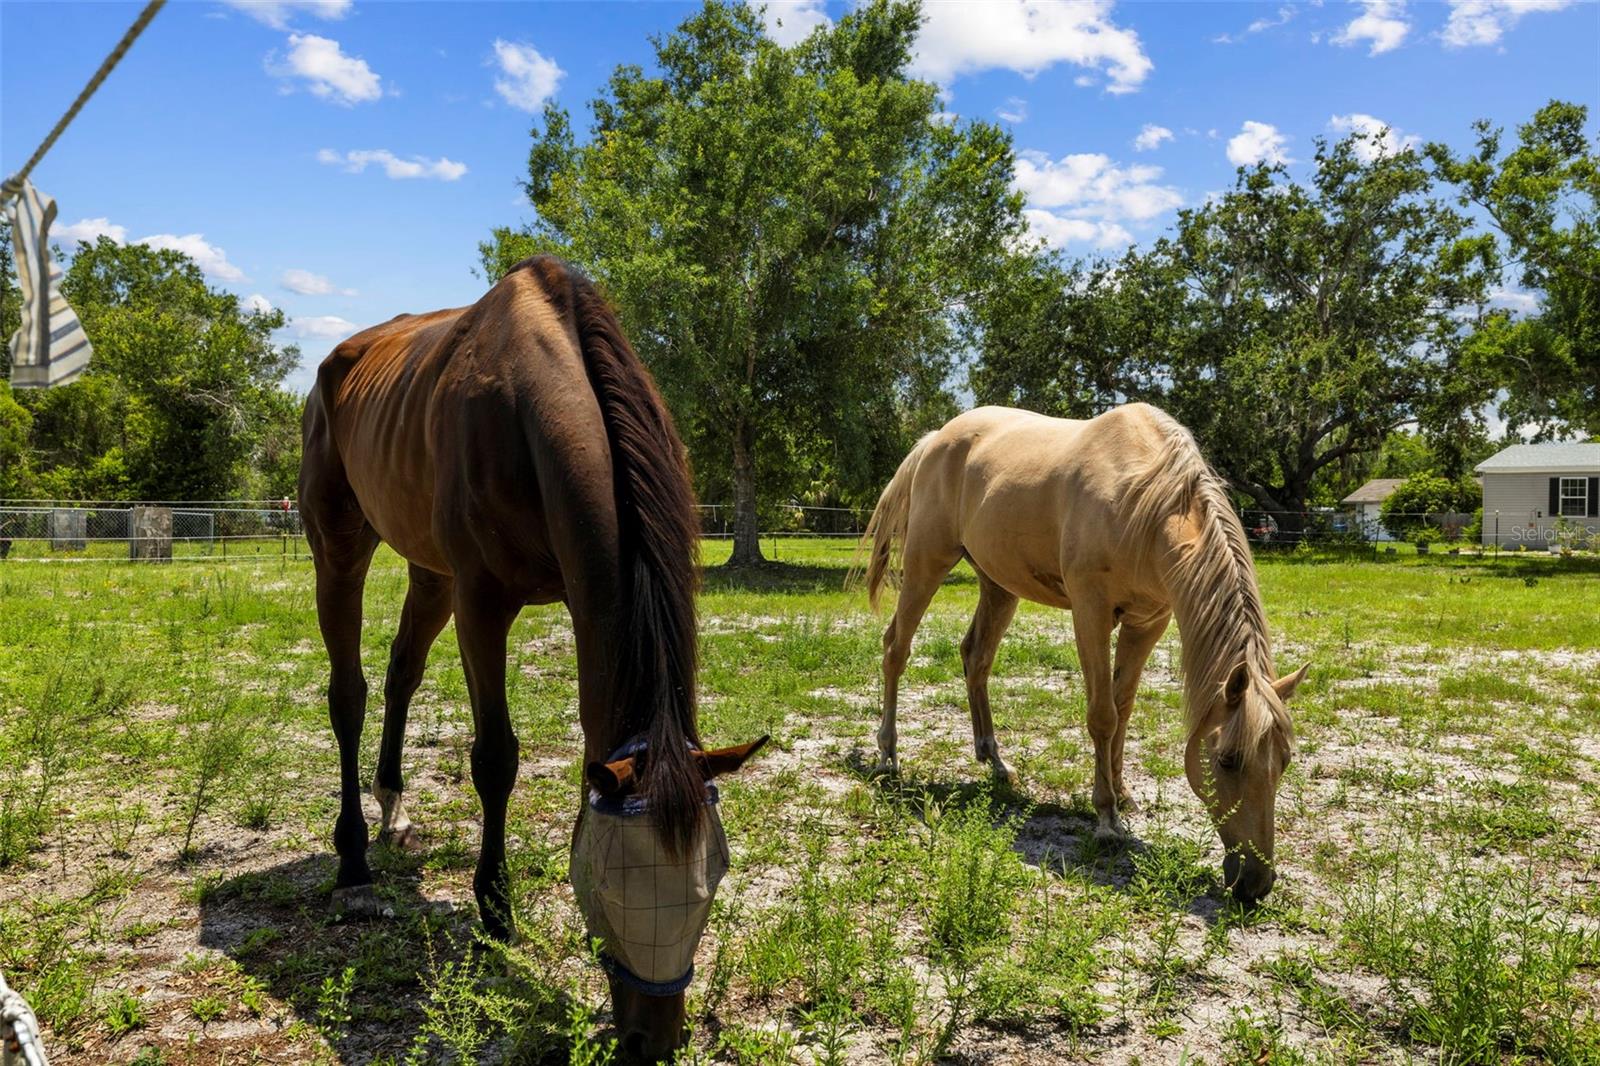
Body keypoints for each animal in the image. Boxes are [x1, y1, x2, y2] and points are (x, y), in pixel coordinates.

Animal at [299, 255, 764, 1059]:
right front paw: (495, 907)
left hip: (430, 572)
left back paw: (392, 805)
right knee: (348, 693)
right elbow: (496, 758)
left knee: (399, 674)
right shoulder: (483, 602)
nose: (652, 1043)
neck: (527, 404)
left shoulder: (576, 595)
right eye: (606, 886)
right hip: (340, 547)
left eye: (715, 881)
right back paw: (354, 860)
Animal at [859, 404, 1307, 902]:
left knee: (976, 658)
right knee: (896, 649)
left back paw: (995, 761)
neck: (1145, 502)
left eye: (1285, 760)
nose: (1256, 882)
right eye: (1227, 759)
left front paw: (1123, 791)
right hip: (926, 562)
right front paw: (1107, 817)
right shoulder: (1090, 612)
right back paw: (888, 753)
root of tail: (936, 437)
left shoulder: (1147, 623)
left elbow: (1124, 708)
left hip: (998, 585)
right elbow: (1103, 715)